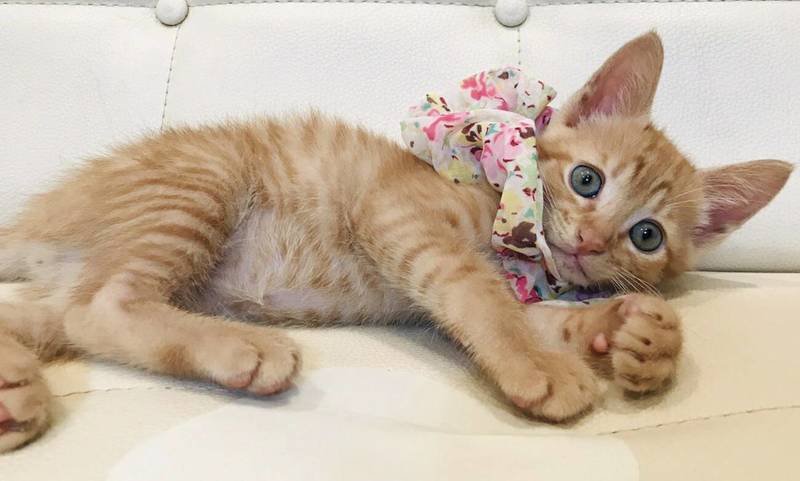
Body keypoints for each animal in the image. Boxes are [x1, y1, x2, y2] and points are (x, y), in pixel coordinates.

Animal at [0, 32, 792, 452]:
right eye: (588, 179)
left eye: (647, 236)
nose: (593, 241)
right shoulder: (397, 211)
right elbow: (478, 296)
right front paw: (541, 367)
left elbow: (538, 314)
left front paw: (639, 336)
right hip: (200, 180)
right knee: (99, 306)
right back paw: (239, 347)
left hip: (67, 281)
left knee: (51, 312)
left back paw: (15, 389)